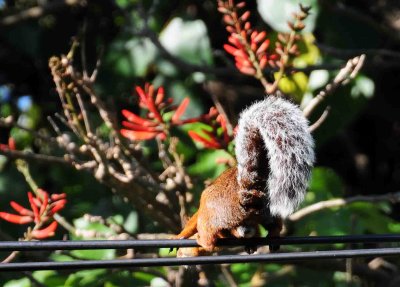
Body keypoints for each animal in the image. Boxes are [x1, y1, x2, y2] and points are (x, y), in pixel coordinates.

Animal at [175, 97, 316, 256]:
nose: (181, 255)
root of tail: (247, 193)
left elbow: (192, 225)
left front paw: (180, 236)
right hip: (266, 211)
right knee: (274, 225)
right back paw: (271, 237)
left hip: (211, 213)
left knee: (208, 238)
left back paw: (202, 240)